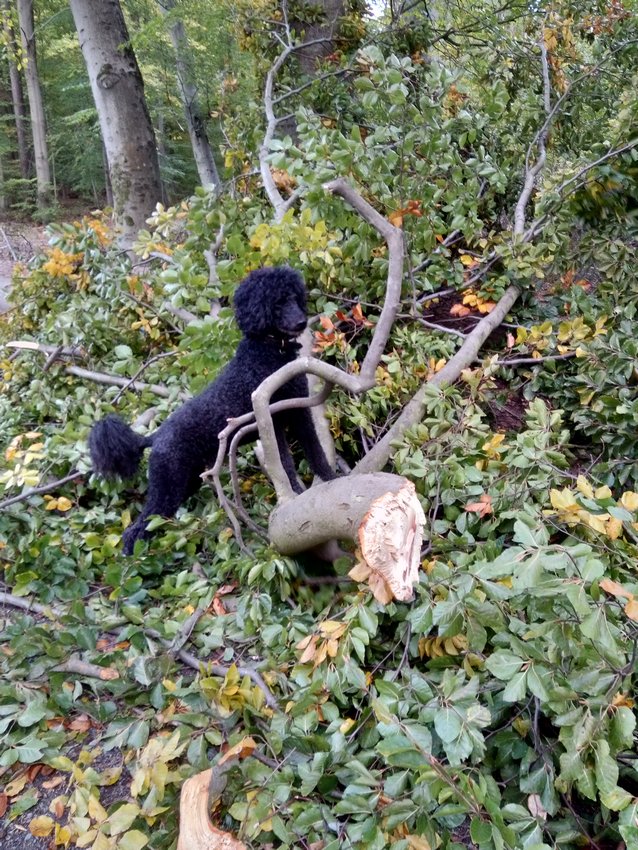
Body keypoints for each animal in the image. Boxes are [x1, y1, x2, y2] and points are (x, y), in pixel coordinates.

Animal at [92, 266, 338, 556]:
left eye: (294, 297)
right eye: (276, 303)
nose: (301, 322)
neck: (266, 352)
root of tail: (154, 437)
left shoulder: (299, 411)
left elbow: (315, 451)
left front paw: (334, 478)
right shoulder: (271, 423)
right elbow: (285, 464)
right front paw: (296, 494)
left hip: (186, 482)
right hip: (167, 482)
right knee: (137, 528)